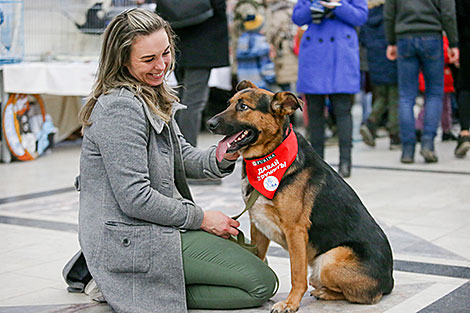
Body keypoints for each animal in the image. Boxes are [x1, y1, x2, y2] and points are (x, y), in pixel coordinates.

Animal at [207, 81, 394, 312]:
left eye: (243, 107)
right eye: (228, 103)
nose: (209, 123)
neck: (269, 155)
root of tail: (389, 281)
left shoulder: (295, 231)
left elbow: (297, 273)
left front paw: (291, 302)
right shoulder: (257, 224)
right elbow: (257, 257)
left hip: (330, 259)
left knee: (362, 295)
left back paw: (325, 292)